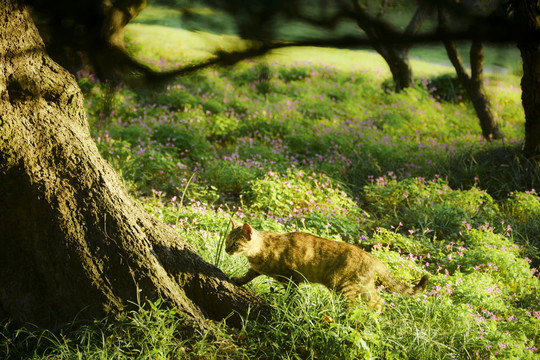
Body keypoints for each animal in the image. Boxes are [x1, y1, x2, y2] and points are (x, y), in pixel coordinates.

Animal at [226, 218, 428, 310]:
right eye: (227, 241)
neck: (259, 252)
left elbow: (291, 296)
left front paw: (287, 306)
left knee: (363, 304)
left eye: (235, 244)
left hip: (345, 287)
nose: (226, 250)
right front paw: (237, 280)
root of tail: (373, 257)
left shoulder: (292, 278)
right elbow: (247, 276)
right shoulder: (256, 269)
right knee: (379, 302)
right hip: (363, 287)